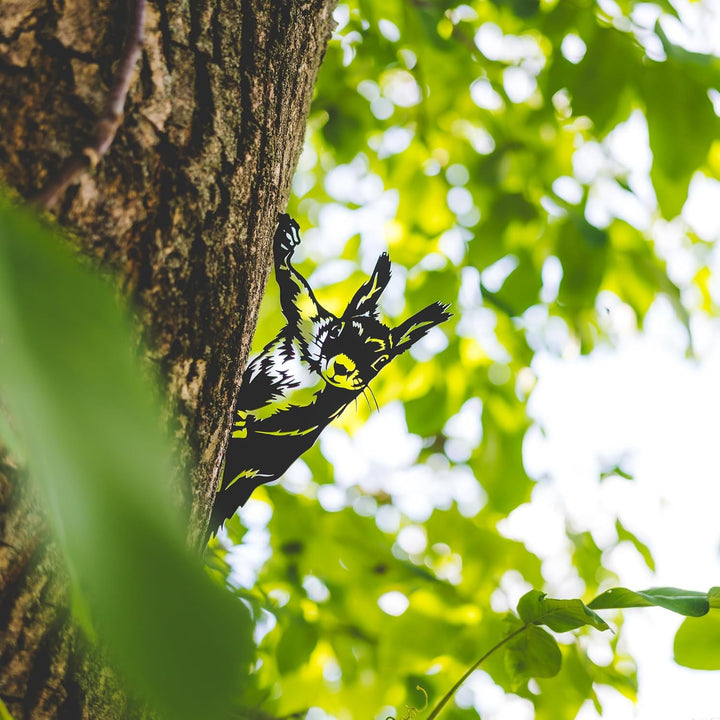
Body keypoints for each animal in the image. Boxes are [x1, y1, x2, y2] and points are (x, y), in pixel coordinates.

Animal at [208, 214, 451, 538]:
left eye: (381, 361)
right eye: (338, 331)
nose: (343, 368)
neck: (314, 371)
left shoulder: (323, 408)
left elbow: (289, 421)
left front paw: (245, 420)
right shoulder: (311, 323)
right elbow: (296, 292)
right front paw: (286, 242)